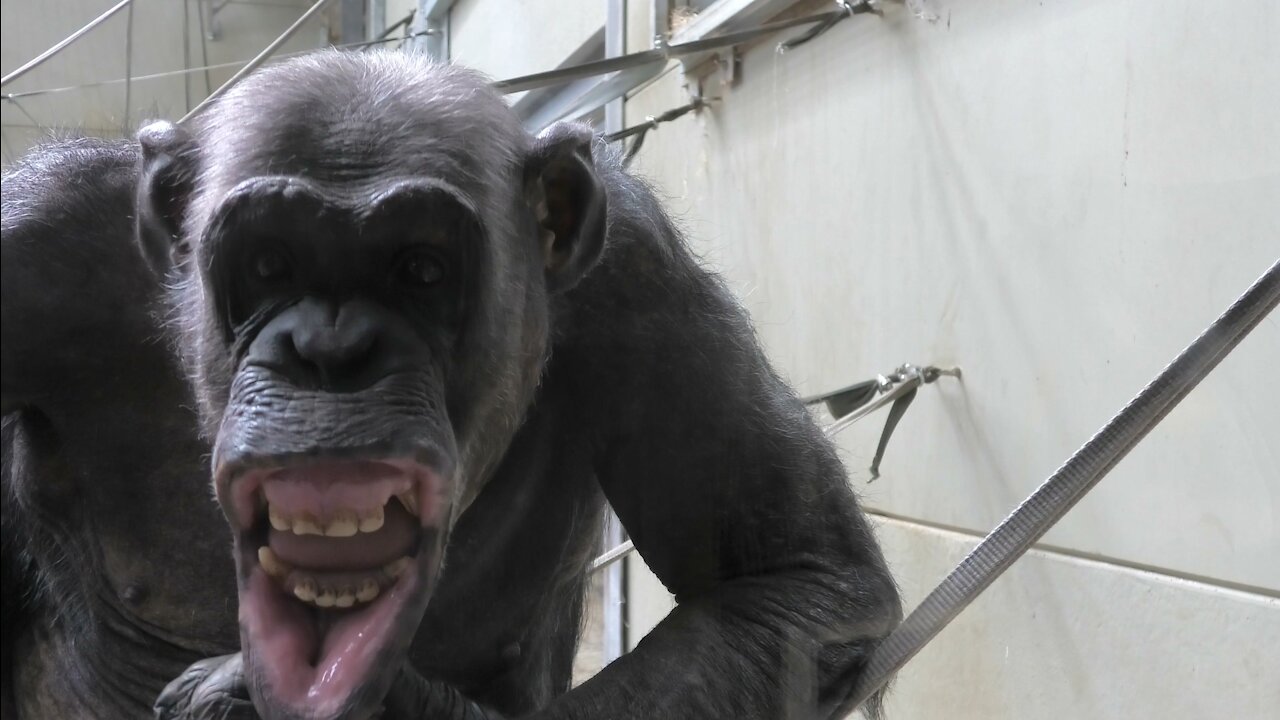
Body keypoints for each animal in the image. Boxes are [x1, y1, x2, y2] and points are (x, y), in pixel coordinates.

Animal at [0, 51, 901, 717]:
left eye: (421, 271)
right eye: (268, 265)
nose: (332, 349)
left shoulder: (644, 281)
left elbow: (798, 581)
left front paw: (398, 704)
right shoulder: (37, 237)